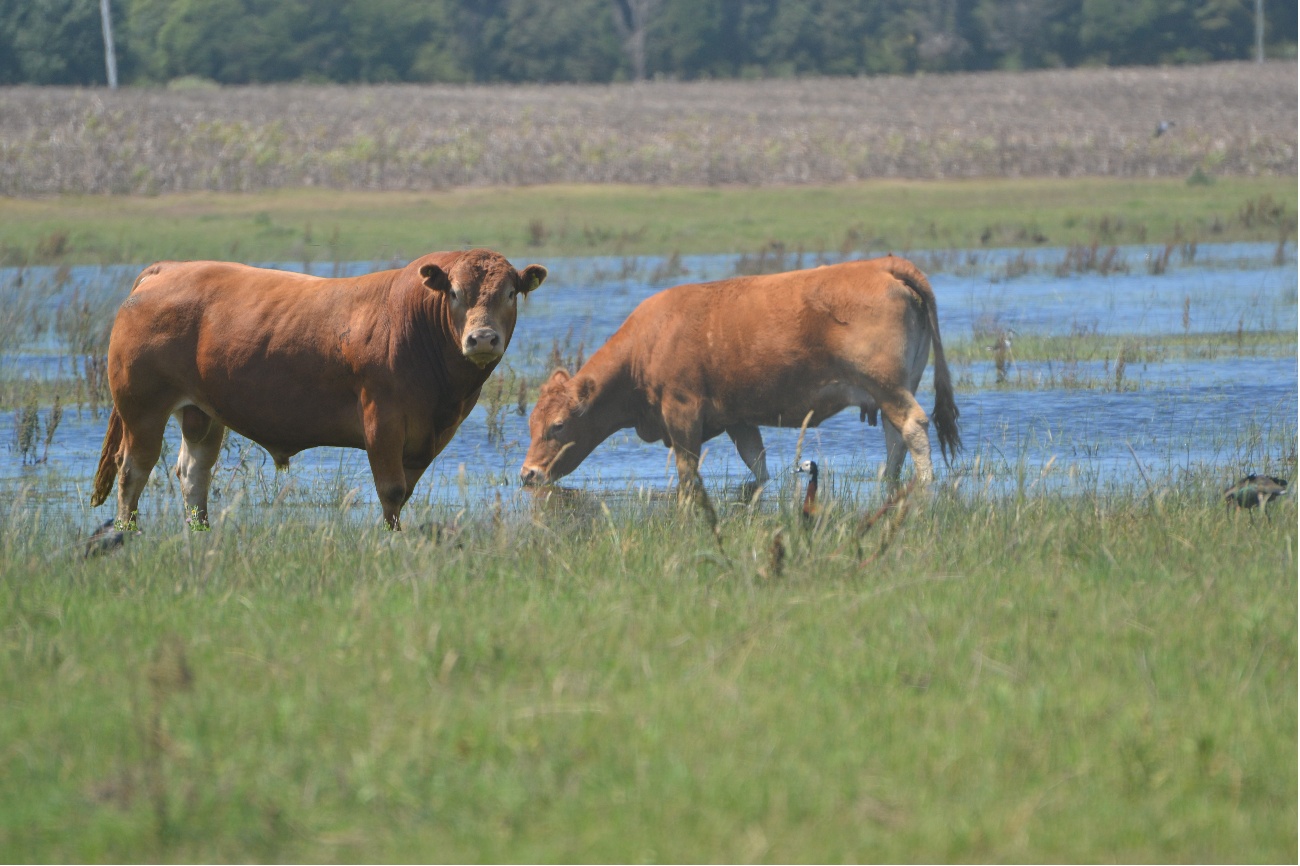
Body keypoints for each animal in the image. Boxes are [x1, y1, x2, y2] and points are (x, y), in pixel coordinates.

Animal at [91, 248, 547, 530]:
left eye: (510, 293)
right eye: (454, 292)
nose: (482, 338)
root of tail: (167, 269)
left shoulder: (427, 437)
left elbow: (406, 491)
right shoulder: (382, 421)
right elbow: (392, 491)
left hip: (201, 413)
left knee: (192, 471)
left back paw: (200, 529)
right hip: (141, 409)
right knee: (133, 470)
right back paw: (127, 532)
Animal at [519, 256, 959, 520]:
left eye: (558, 425)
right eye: (531, 424)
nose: (527, 474)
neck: (648, 343)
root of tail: (883, 264)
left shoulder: (682, 414)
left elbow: (688, 472)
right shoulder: (738, 419)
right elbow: (757, 464)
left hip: (887, 386)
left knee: (913, 427)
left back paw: (925, 484)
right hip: (891, 391)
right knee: (894, 436)